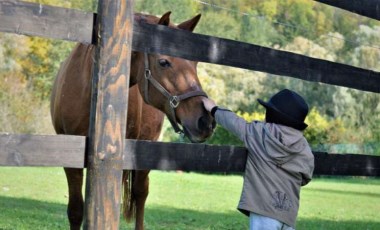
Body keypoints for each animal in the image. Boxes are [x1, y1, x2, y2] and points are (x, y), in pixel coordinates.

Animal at [50, 11, 215, 229]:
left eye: (195, 64)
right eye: (163, 62)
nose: (205, 120)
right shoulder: (70, 157)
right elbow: (76, 210)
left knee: (140, 193)